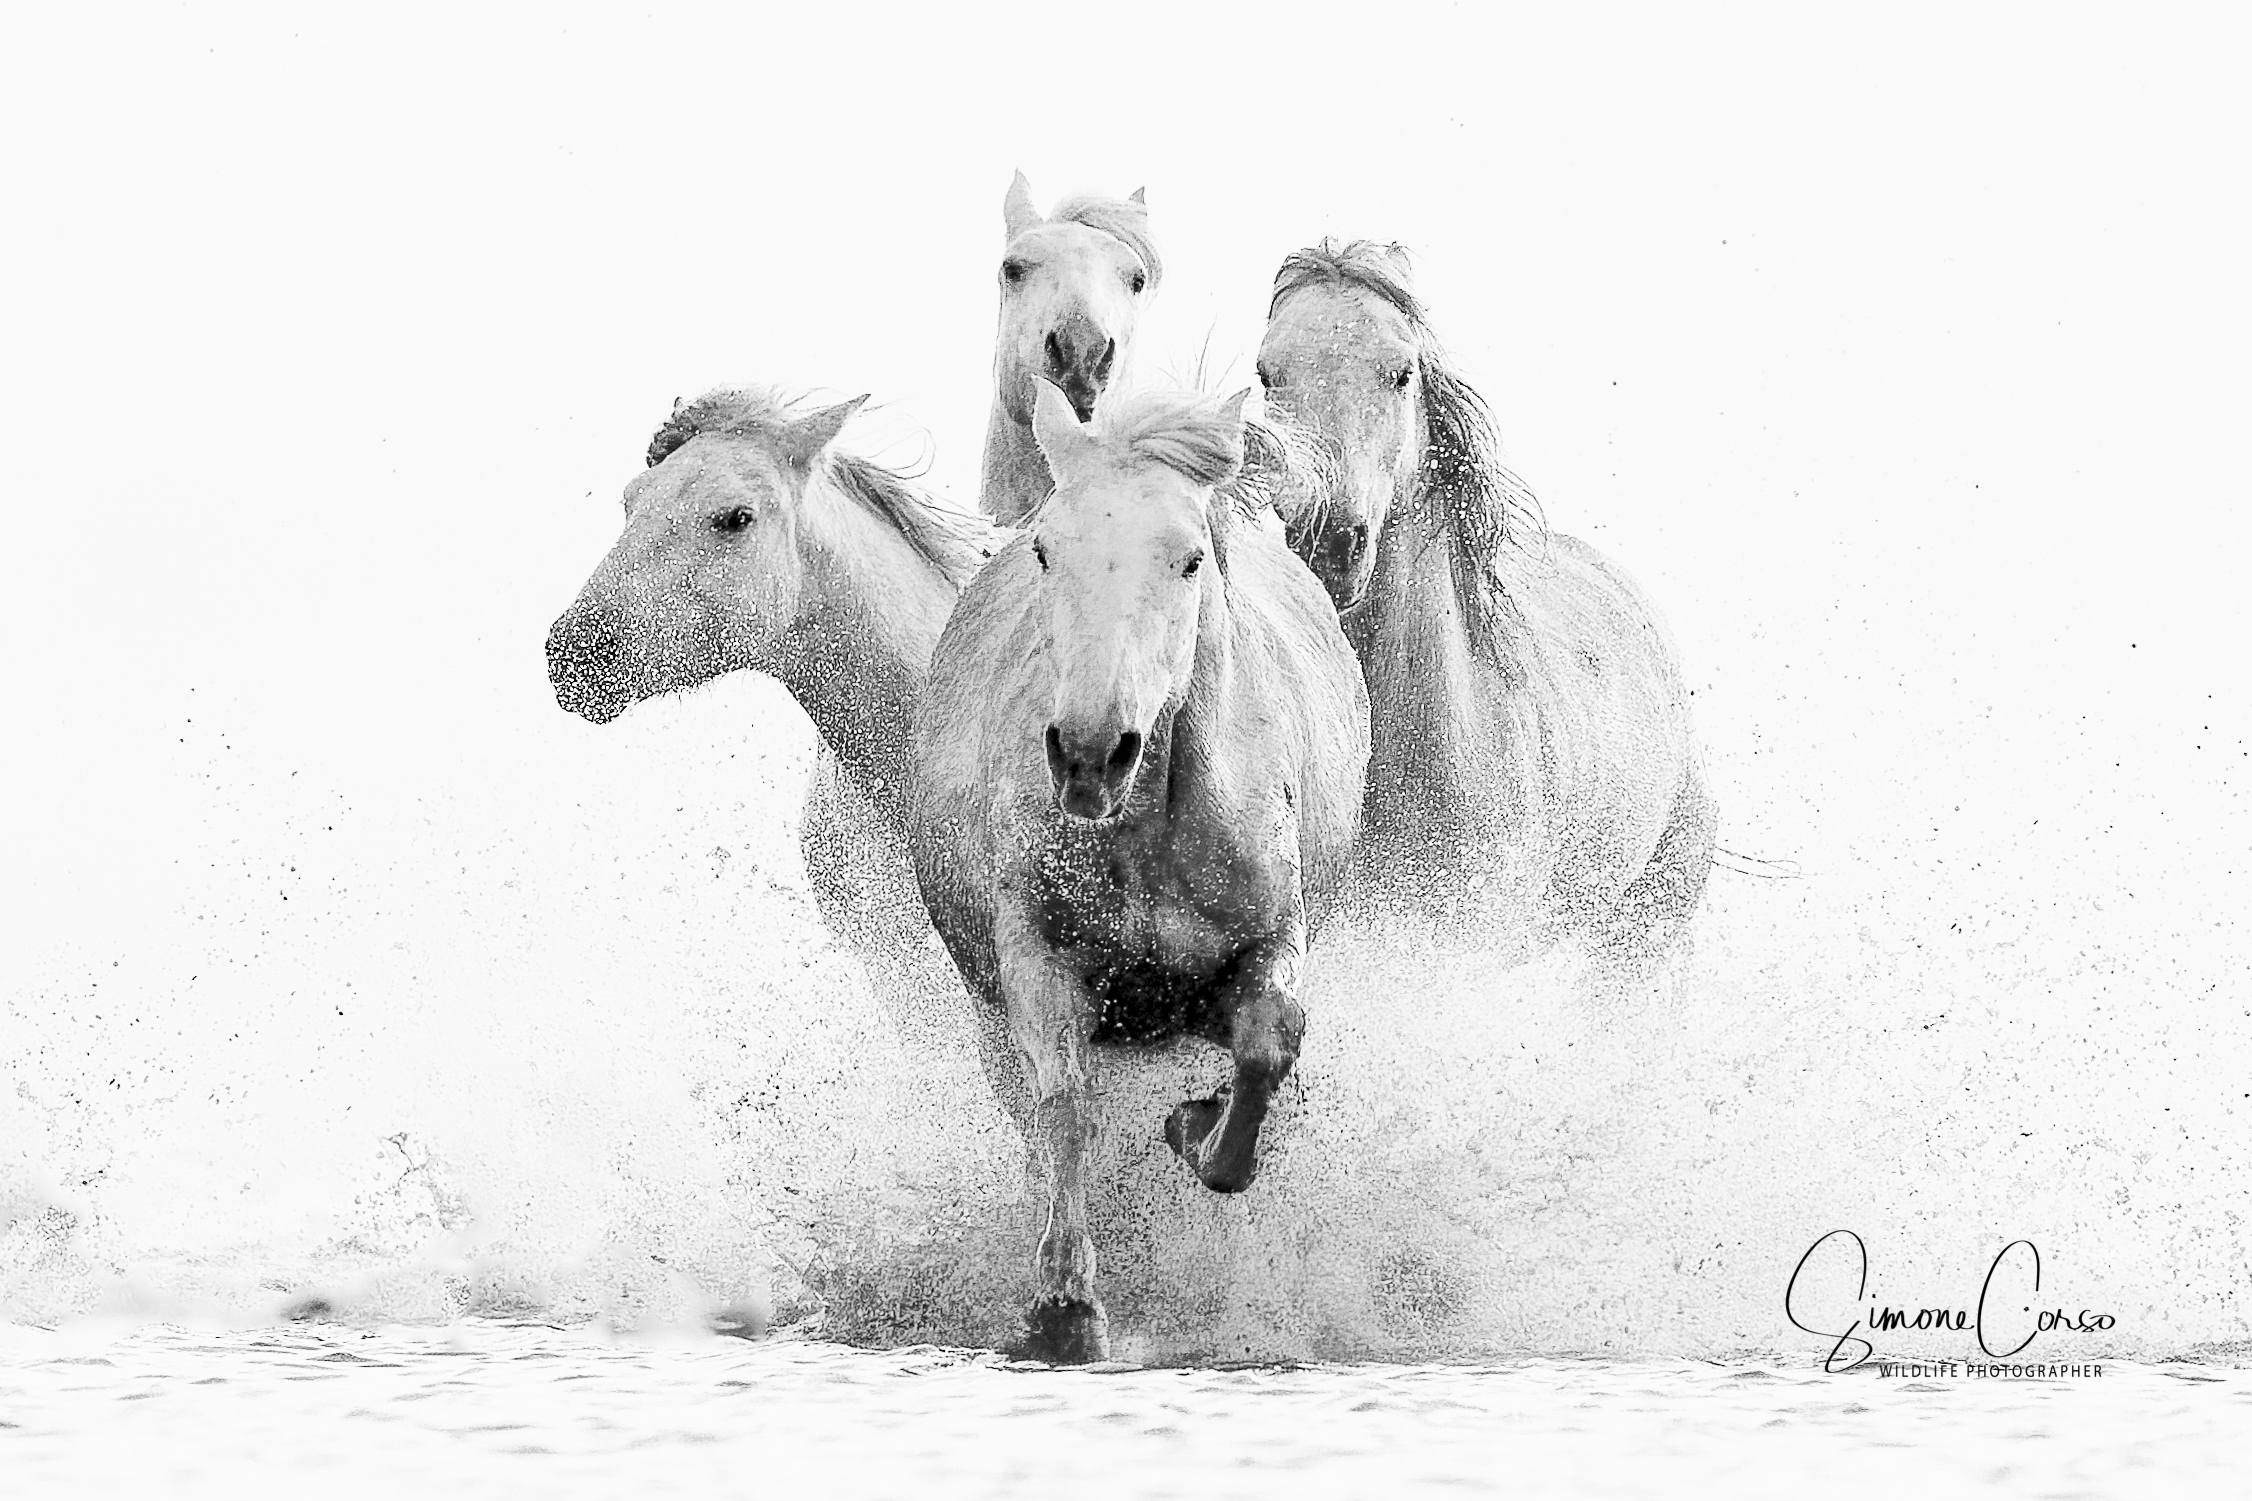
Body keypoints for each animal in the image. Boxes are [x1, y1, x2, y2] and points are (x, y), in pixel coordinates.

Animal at [911, 381, 1370, 1363]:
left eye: (1189, 558)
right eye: (1047, 548)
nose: (1089, 751)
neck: (1151, 834)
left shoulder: (1266, 945)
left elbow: (1270, 1042)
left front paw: (1197, 1128)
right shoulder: (1036, 964)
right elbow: (1064, 1104)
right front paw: (1065, 1307)